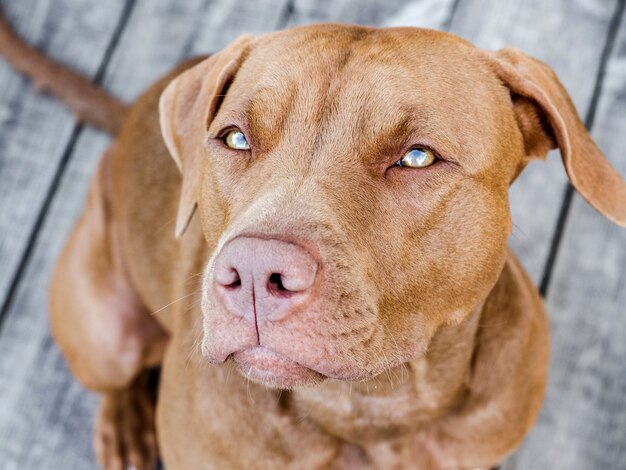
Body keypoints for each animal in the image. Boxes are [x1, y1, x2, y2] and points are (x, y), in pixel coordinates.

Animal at [2, 13, 620, 466]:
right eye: (235, 138)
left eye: (418, 156)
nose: (254, 272)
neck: (372, 408)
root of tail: (131, 112)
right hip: (104, 328)